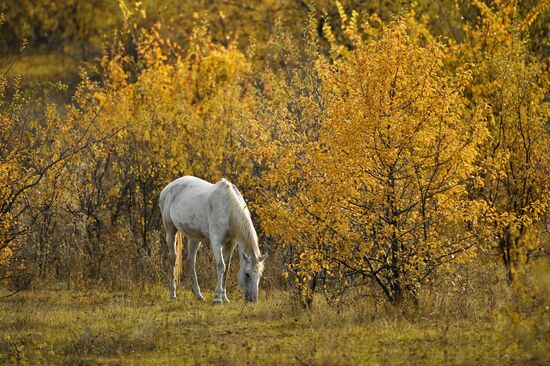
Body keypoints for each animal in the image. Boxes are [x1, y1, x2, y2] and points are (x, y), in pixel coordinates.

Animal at [158, 175, 268, 304]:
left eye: (260, 275)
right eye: (247, 274)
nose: (253, 300)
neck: (228, 208)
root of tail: (168, 187)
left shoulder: (231, 243)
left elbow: (227, 267)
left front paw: (224, 297)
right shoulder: (216, 242)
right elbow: (221, 265)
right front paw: (218, 298)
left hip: (194, 237)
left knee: (191, 260)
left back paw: (198, 294)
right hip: (170, 230)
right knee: (173, 258)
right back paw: (173, 293)